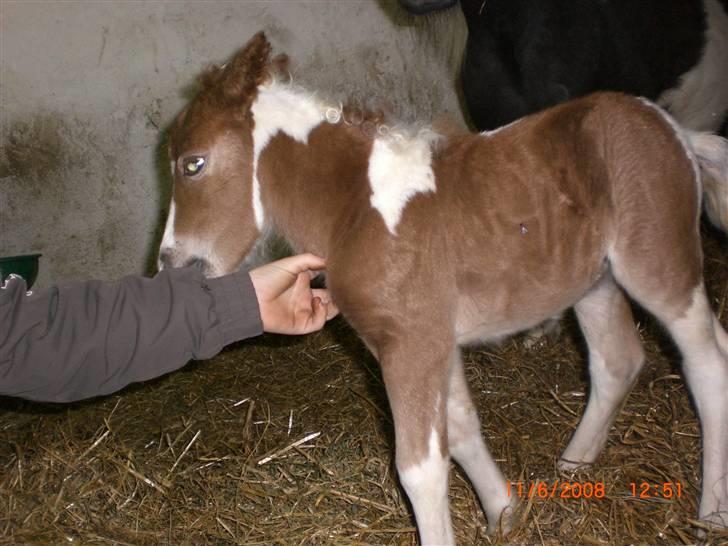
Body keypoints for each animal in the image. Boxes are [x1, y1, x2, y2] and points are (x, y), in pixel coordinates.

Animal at [158, 33, 728, 540]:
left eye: (193, 164)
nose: (172, 265)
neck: (358, 209)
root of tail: (675, 128)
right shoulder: (433, 340)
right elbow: (461, 427)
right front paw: (504, 514)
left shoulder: (408, 344)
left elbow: (420, 468)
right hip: (594, 282)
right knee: (618, 360)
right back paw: (573, 466)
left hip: (656, 264)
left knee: (708, 366)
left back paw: (711, 515)